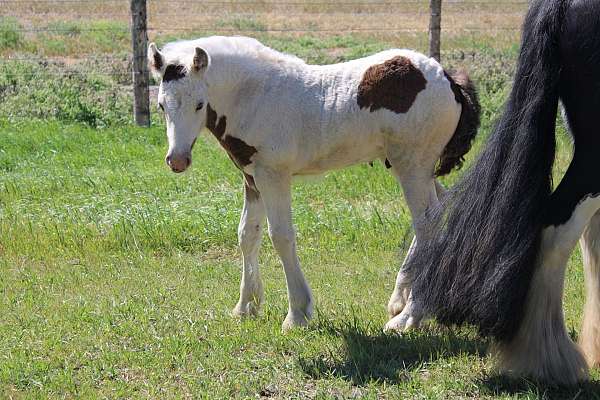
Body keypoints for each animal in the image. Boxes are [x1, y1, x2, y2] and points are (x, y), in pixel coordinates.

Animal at [149, 36, 478, 330]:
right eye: (162, 105)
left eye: (199, 104)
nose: (177, 160)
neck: (255, 96)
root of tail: (448, 79)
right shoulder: (252, 178)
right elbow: (246, 234)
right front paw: (246, 306)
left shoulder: (274, 175)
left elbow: (280, 236)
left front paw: (297, 314)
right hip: (416, 169)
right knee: (439, 210)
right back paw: (401, 297)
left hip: (412, 166)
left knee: (427, 225)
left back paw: (409, 316)